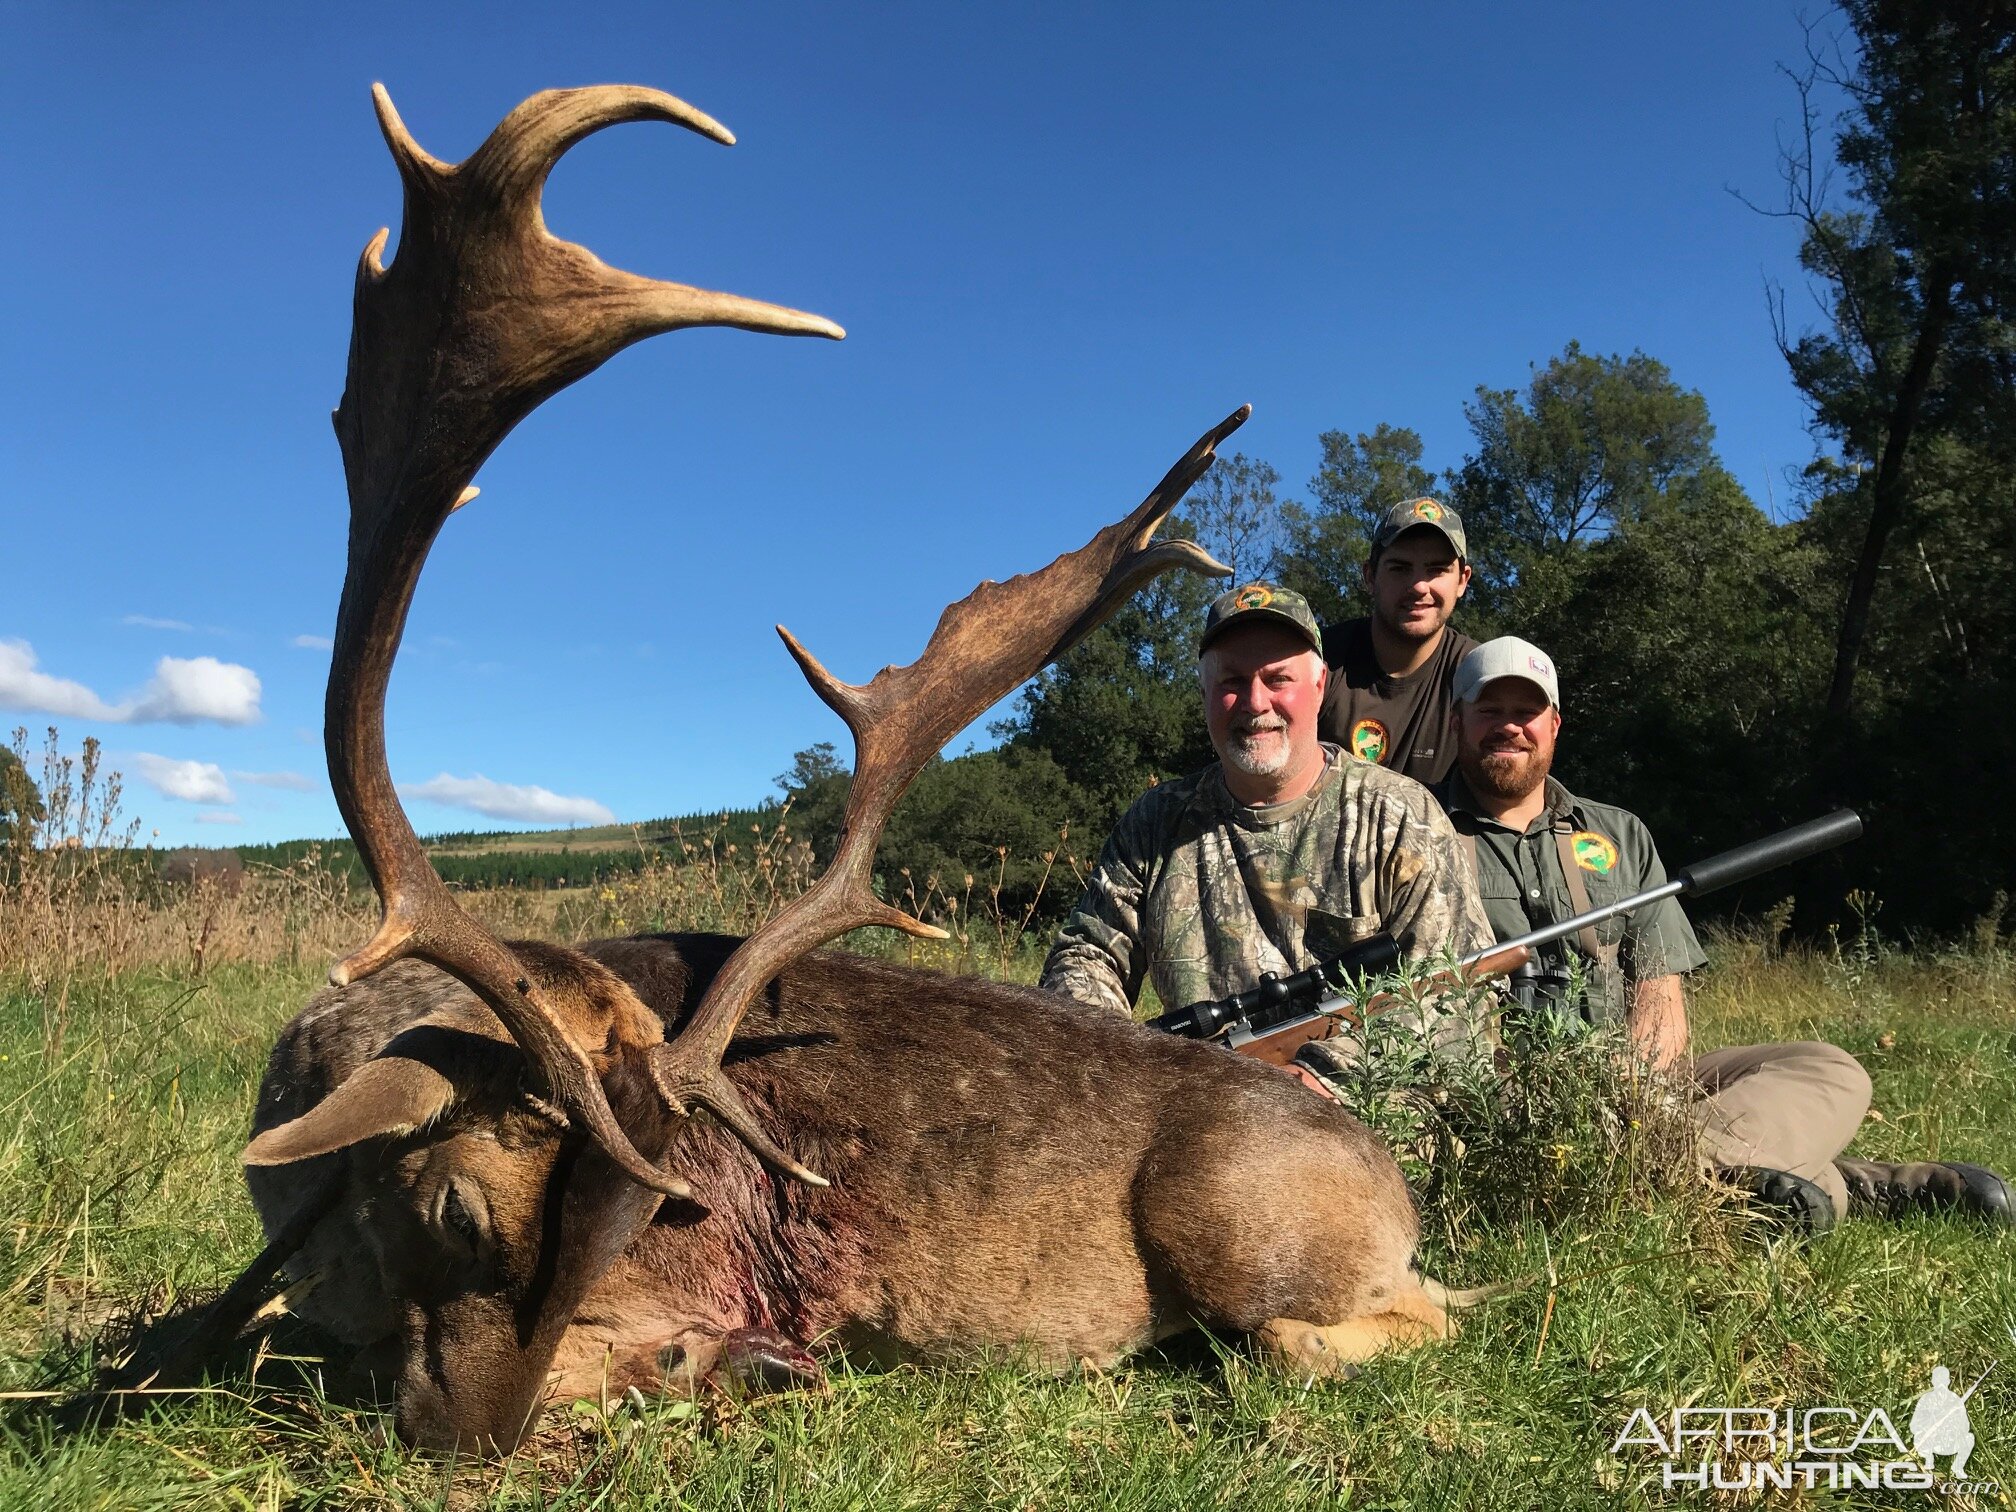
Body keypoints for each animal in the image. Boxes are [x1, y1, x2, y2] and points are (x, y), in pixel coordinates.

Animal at [208, 82, 1467, 1459]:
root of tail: (1394, 1176)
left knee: (1386, 1319)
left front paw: (722, 1363)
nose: (460, 1440)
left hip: (1241, 1222)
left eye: (640, 1222)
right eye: (451, 1211)